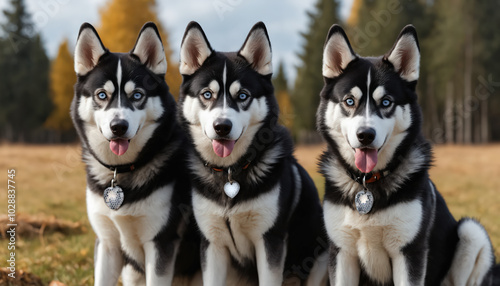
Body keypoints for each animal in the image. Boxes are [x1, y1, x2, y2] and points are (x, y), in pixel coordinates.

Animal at [72, 22, 197, 286]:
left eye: (137, 95)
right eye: (102, 94)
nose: (118, 126)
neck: (121, 172)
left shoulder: (160, 243)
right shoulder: (107, 244)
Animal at [178, 21, 330, 284]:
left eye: (243, 96)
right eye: (207, 94)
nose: (222, 126)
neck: (230, 173)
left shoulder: (269, 241)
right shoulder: (212, 244)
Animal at [318, 24, 498, 286]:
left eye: (386, 102)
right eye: (349, 101)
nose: (365, 135)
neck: (369, 183)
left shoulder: (409, 252)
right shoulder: (342, 252)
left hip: (472, 233)